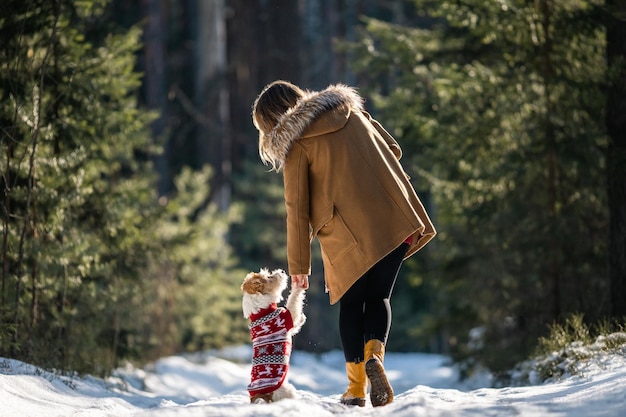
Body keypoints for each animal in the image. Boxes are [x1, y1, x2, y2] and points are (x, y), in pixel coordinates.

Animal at [241, 268, 304, 402]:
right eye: (269, 277)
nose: (282, 271)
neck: (261, 310)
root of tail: (262, 396)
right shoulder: (288, 316)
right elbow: (294, 299)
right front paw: (298, 286)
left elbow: (296, 324)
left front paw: (303, 318)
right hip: (288, 390)